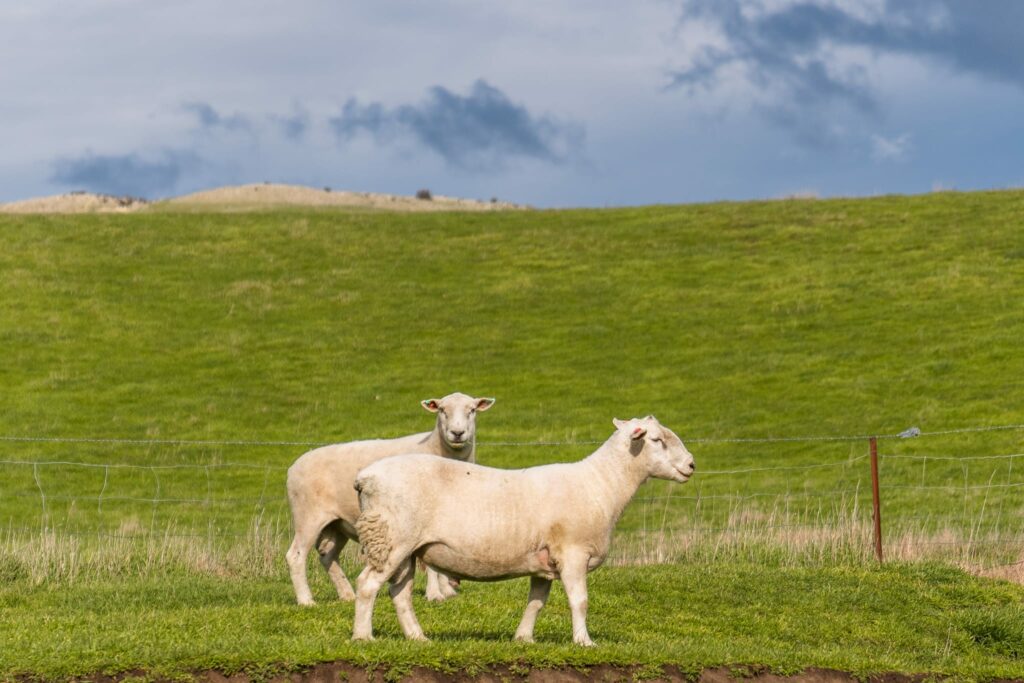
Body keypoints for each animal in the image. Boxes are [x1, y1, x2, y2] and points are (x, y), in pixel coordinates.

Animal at [286, 393, 497, 606]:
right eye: (442, 410)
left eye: (472, 410)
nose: (457, 433)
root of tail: (293, 467)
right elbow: (430, 564)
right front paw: (434, 594)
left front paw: (446, 591)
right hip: (308, 516)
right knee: (295, 556)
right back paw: (306, 600)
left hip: (337, 523)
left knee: (327, 555)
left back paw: (347, 594)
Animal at [350, 413, 696, 643]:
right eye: (657, 440)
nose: (692, 465)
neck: (602, 483)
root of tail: (364, 477)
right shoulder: (573, 552)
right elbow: (580, 600)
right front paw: (584, 642)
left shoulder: (544, 560)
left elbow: (536, 603)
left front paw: (524, 639)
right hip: (390, 538)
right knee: (367, 585)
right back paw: (363, 637)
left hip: (405, 547)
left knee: (400, 593)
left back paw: (417, 638)